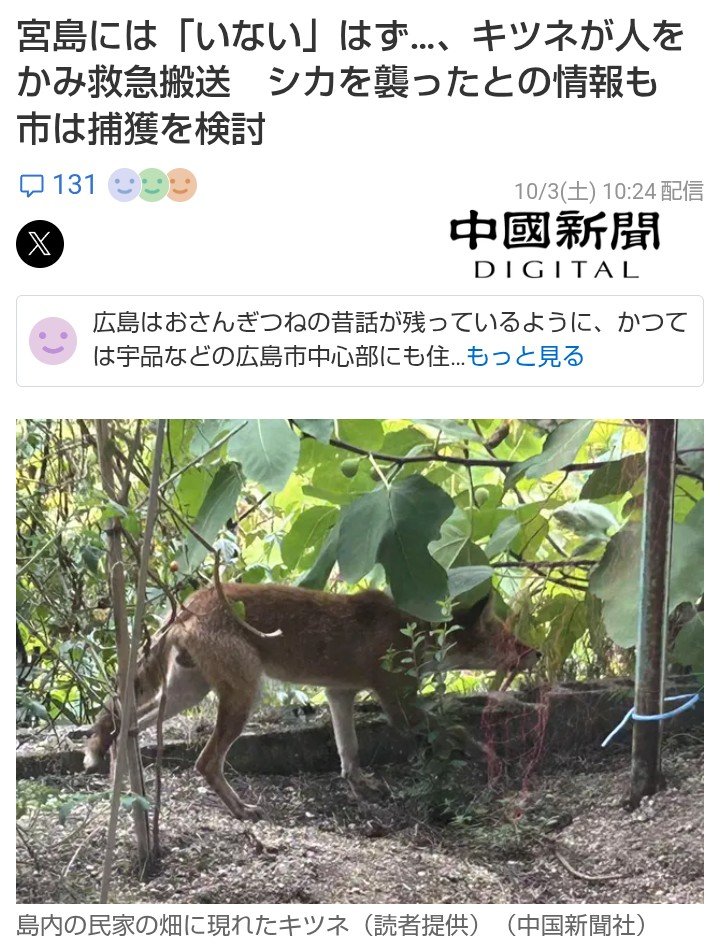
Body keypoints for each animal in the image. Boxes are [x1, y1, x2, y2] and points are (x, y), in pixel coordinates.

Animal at [84, 583, 539, 820]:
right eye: (507, 640)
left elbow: (348, 751)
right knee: (204, 761)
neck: (413, 634)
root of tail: (190, 602)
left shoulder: (340, 693)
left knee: (124, 722)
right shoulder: (398, 705)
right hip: (244, 694)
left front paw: (359, 786)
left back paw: (120, 773)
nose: (535, 652)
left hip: (186, 692)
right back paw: (241, 810)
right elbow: (454, 727)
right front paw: (488, 755)